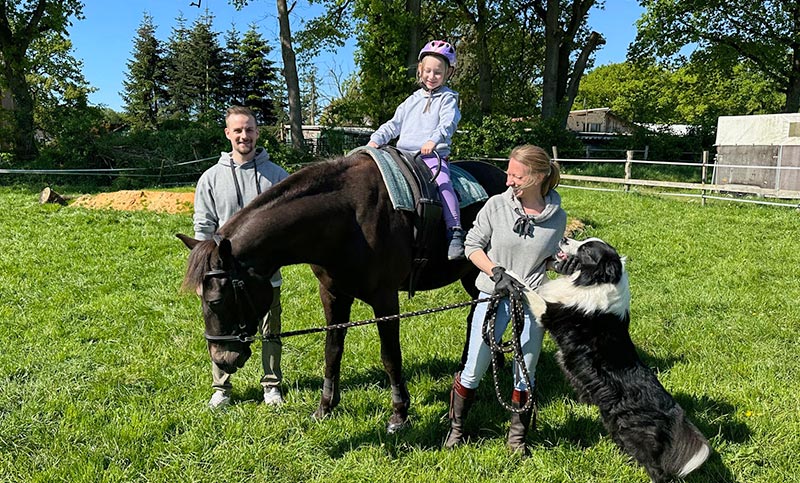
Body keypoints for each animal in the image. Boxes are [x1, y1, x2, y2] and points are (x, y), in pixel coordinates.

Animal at [181, 151, 506, 432]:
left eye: (217, 300)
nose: (221, 359)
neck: (347, 219)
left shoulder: (385, 299)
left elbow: (390, 356)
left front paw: (399, 414)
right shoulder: (333, 295)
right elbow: (332, 351)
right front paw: (325, 407)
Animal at [528, 238, 708, 483]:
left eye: (586, 249)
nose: (564, 239)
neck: (596, 282)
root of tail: (674, 411)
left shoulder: (550, 314)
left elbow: (527, 290)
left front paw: (504, 275)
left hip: (635, 433)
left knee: (657, 469)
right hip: (617, 426)